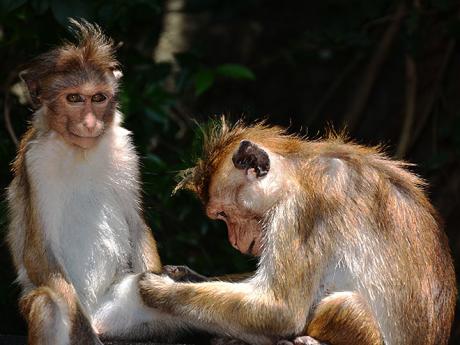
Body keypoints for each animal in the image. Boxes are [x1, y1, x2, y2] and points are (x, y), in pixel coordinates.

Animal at [5, 20, 190, 342]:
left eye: (98, 98)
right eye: (75, 98)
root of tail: (97, 316)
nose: (91, 124)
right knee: (47, 303)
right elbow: (38, 252)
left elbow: (136, 226)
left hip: (116, 309)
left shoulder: (125, 151)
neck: (80, 152)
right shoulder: (36, 162)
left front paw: (159, 284)